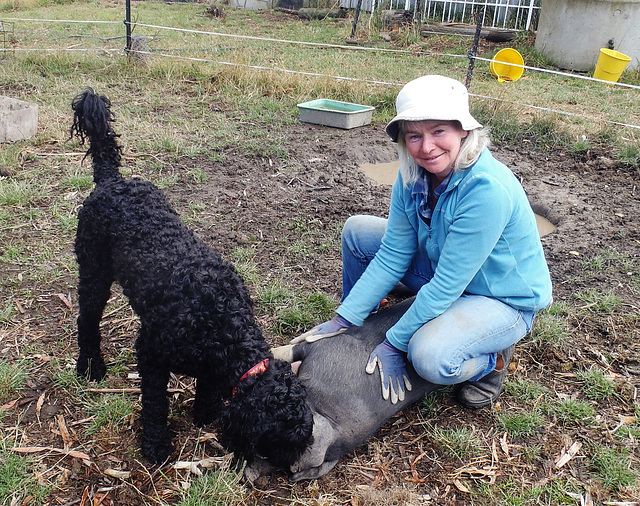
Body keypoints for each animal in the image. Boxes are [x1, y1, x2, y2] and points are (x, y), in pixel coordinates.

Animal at [71, 89, 314, 468]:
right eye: (280, 442)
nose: (288, 469)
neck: (222, 324)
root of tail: (113, 180)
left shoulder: (211, 363)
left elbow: (208, 386)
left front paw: (204, 414)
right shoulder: (151, 353)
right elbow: (155, 406)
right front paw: (156, 446)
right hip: (93, 270)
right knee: (87, 319)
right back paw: (90, 367)